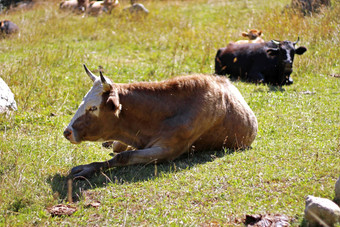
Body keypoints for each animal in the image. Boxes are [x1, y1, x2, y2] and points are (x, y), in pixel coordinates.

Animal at [63, 64, 258, 177]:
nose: (67, 132)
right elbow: (121, 150)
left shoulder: (168, 150)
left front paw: (87, 168)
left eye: (93, 108)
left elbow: (124, 156)